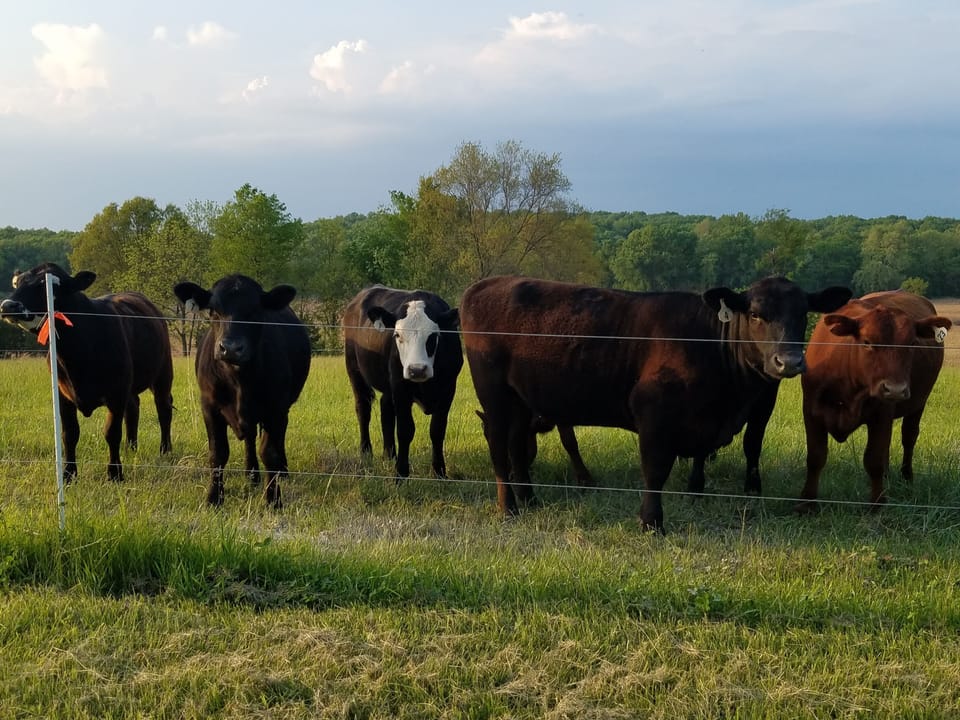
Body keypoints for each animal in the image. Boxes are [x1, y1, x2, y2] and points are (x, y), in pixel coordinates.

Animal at [0, 263, 173, 482]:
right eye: (17, 282)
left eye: (47, 285)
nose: (8, 306)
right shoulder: (62, 394)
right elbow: (70, 434)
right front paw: (68, 474)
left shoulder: (116, 394)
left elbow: (111, 432)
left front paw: (115, 474)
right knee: (133, 408)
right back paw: (130, 448)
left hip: (163, 374)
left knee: (164, 409)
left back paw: (165, 450)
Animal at [174, 275, 310, 508]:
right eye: (213, 311)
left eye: (255, 311)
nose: (230, 348)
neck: (240, 381)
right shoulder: (209, 406)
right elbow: (218, 453)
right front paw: (214, 498)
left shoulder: (276, 409)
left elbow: (270, 452)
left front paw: (273, 500)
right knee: (250, 438)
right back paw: (251, 474)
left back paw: (282, 472)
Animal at [342, 286, 463, 479]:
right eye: (397, 335)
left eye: (433, 336)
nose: (417, 369)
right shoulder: (401, 388)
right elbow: (405, 430)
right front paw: (401, 473)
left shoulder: (448, 389)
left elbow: (437, 430)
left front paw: (439, 472)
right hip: (354, 370)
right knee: (363, 409)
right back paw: (366, 452)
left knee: (386, 409)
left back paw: (389, 454)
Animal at [459, 275, 852, 531]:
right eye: (755, 314)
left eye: (803, 313)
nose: (790, 361)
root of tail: (487, 283)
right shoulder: (654, 416)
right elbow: (655, 471)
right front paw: (652, 522)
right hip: (494, 394)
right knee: (499, 446)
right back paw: (508, 507)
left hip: (521, 399)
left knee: (516, 445)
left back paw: (529, 499)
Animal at [799, 290, 951, 511]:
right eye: (868, 341)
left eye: (912, 343)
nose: (895, 389)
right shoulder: (812, 411)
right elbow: (815, 457)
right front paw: (806, 503)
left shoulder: (881, 414)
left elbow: (874, 460)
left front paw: (877, 504)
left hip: (918, 403)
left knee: (909, 437)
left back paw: (907, 478)